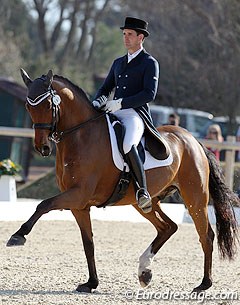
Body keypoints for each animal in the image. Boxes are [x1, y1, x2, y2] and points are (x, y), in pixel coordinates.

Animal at [7, 69, 238, 292]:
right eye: (28, 106)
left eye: (47, 105)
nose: (43, 148)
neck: (81, 136)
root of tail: (193, 140)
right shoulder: (79, 205)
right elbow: (88, 243)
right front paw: (91, 283)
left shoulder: (78, 194)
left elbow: (44, 205)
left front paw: (18, 235)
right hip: (145, 202)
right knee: (168, 227)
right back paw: (144, 271)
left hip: (195, 198)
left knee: (206, 235)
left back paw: (204, 284)